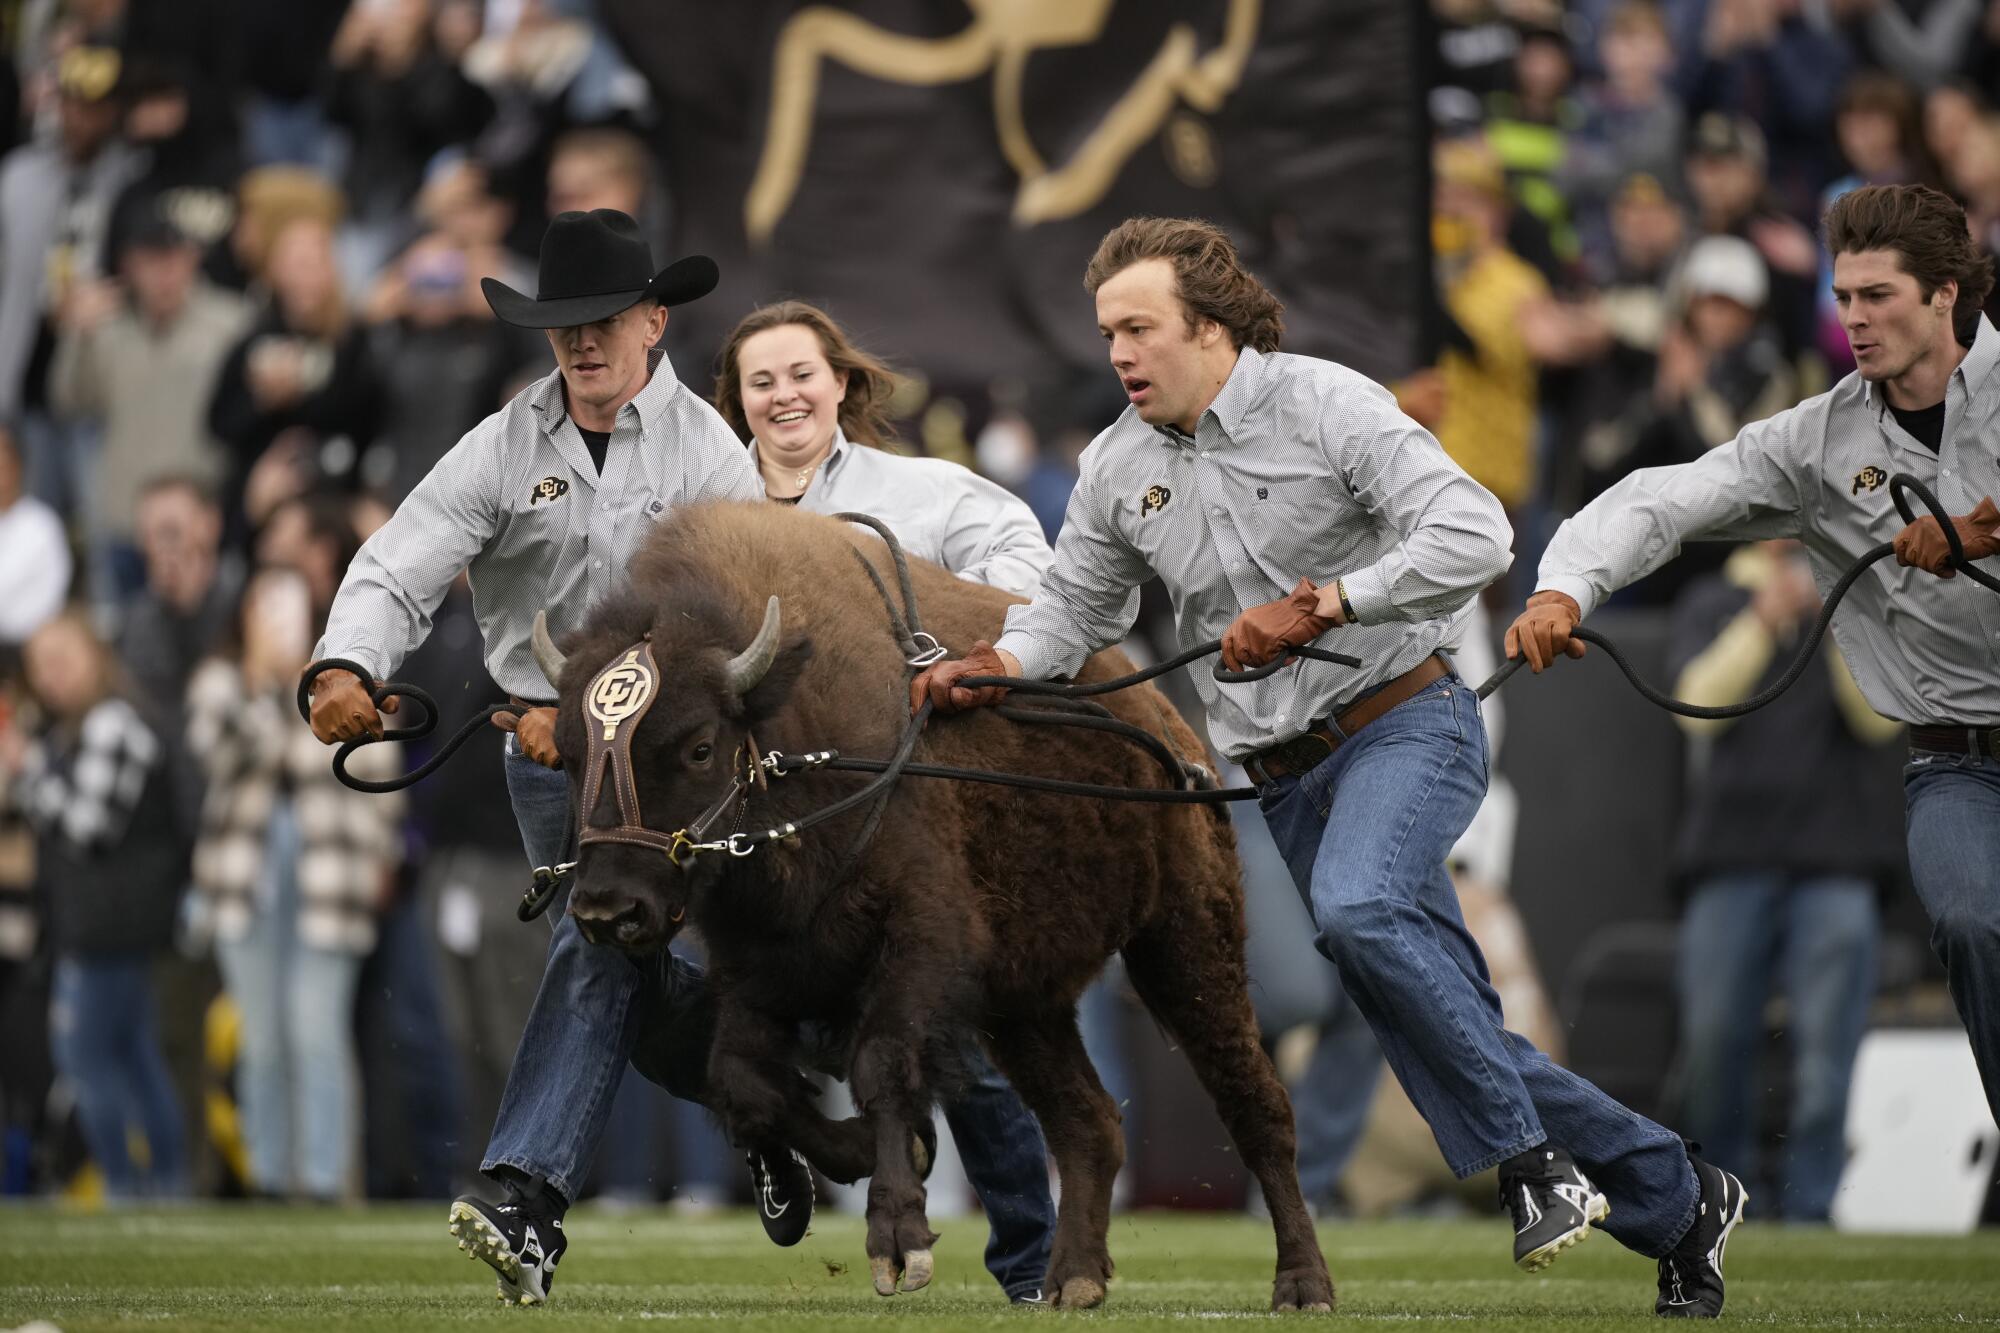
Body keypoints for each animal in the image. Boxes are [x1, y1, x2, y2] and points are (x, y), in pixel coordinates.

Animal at [536, 500, 1344, 1304]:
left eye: (700, 746)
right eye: (570, 755)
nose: (608, 910)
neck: (794, 730)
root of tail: (1170, 723)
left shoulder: (916, 946)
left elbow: (884, 1067)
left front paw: (899, 1243)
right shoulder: (757, 969)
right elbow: (745, 1082)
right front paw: (882, 1155)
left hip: (1183, 941)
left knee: (1254, 1104)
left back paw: (1301, 1283)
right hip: (1024, 1005)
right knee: (1087, 1123)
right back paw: (1074, 1279)